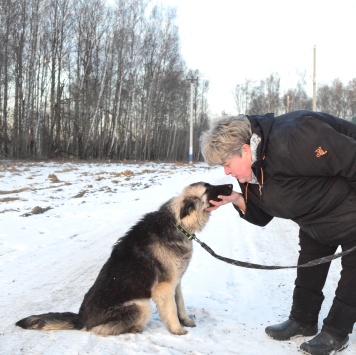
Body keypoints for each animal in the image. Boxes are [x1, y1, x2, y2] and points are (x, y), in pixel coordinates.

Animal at [16, 184, 234, 336]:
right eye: (209, 188)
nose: (232, 186)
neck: (177, 223)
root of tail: (81, 319)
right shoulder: (164, 287)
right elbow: (171, 310)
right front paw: (177, 330)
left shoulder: (176, 282)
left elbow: (180, 304)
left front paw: (185, 321)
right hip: (141, 305)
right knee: (98, 330)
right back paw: (134, 329)